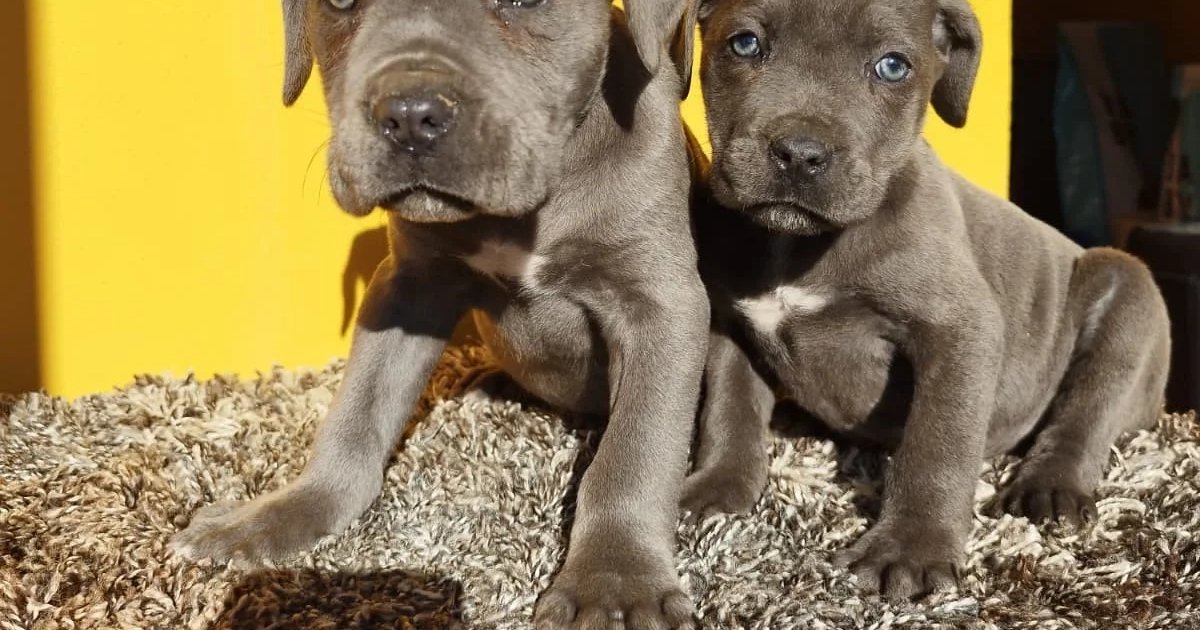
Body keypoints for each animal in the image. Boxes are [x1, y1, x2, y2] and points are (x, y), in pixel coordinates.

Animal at [170, 1, 709, 626]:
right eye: (340, 4)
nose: (408, 115)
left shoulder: (662, 306)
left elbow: (632, 454)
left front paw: (616, 584)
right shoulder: (408, 288)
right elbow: (355, 416)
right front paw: (283, 513)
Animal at [682, 0, 1172, 601]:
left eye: (893, 67)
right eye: (745, 44)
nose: (800, 154)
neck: (796, 246)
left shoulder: (960, 329)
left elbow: (937, 441)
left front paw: (909, 549)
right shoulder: (732, 321)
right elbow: (730, 410)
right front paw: (717, 487)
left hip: (1126, 285)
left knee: (1087, 411)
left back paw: (1050, 487)